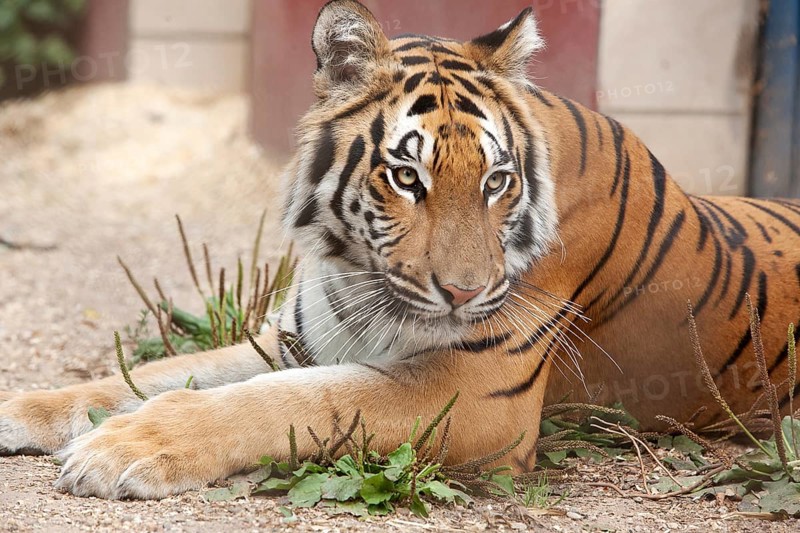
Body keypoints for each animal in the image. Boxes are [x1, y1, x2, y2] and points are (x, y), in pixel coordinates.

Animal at [1, 0, 798, 500]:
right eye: (407, 177)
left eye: (497, 181)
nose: (467, 292)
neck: (353, 269)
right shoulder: (291, 337)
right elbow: (151, 371)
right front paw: (29, 407)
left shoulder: (474, 394)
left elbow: (287, 401)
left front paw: (125, 447)